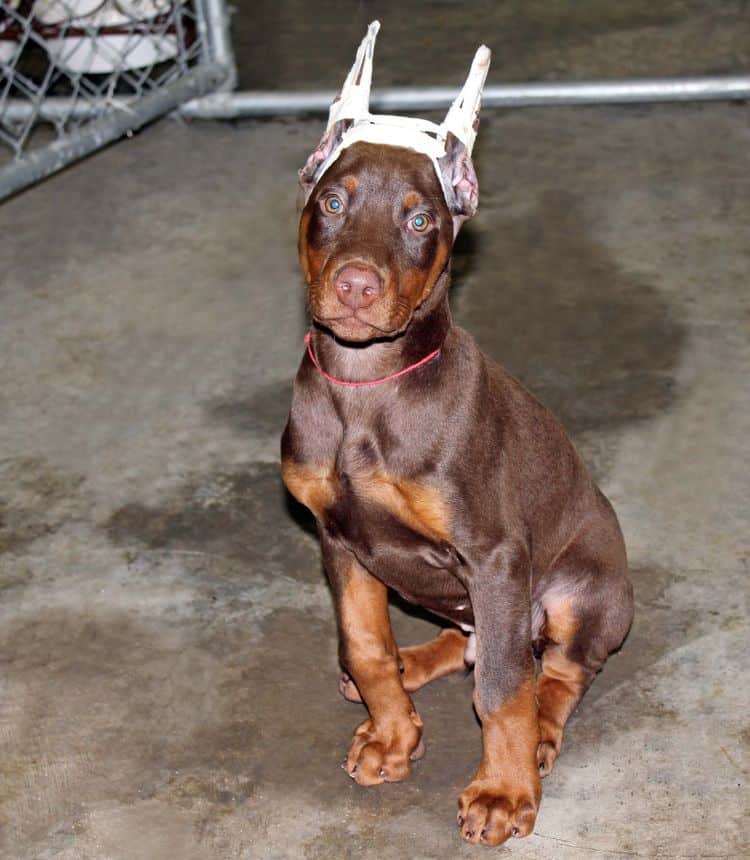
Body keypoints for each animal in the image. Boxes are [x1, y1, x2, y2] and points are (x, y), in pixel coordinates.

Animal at [282, 124, 636, 844]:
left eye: (420, 220)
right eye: (333, 202)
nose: (356, 286)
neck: (365, 386)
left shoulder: (492, 555)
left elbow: (502, 689)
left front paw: (502, 791)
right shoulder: (340, 540)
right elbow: (364, 644)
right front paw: (392, 736)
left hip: (581, 590)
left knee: (553, 669)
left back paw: (539, 735)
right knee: (467, 640)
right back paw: (410, 663)